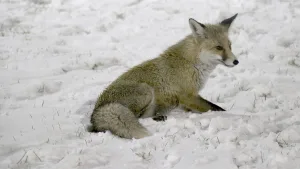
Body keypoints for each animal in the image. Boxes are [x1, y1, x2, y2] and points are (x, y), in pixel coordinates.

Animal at [88, 13, 239, 139]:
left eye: (230, 46)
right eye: (219, 48)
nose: (236, 61)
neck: (192, 63)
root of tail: (97, 111)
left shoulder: (188, 101)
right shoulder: (188, 96)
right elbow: (217, 109)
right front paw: (234, 115)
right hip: (146, 91)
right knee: (138, 117)